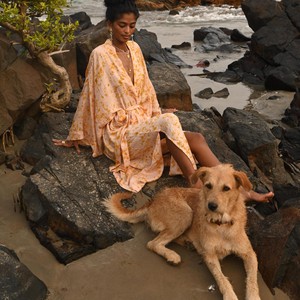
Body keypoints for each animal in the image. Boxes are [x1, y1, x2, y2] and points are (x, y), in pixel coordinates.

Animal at [105, 164, 260, 300]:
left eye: (226, 188)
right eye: (208, 185)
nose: (211, 206)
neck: (221, 224)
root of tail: (152, 200)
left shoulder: (249, 253)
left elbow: (252, 279)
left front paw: (253, 296)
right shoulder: (210, 256)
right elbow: (221, 278)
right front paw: (230, 295)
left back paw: (187, 243)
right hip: (186, 214)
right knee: (153, 243)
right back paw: (172, 255)